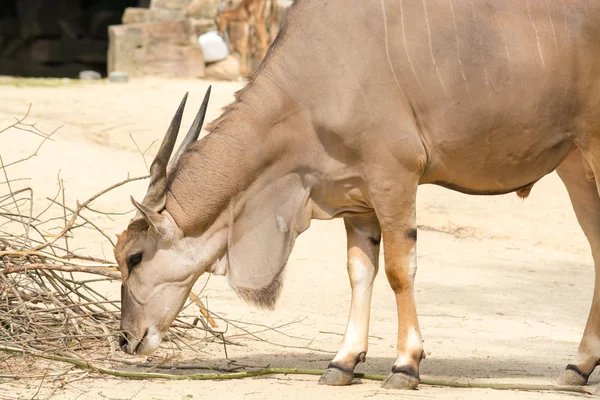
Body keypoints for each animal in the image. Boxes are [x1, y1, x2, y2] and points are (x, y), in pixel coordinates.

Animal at [116, 0, 600, 390]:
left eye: (134, 257)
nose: (125, 339)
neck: (316, 73)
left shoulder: (394, 179)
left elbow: (400, 271)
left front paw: (406, 365)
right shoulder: (358, 200)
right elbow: (359, 272)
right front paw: (343, 362)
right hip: (575, 167)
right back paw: (578, 367)